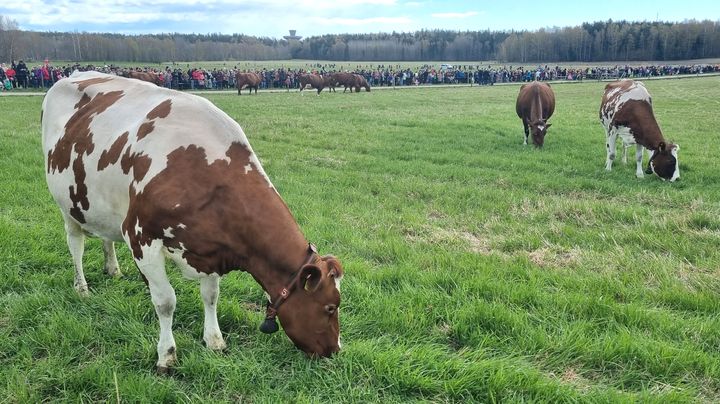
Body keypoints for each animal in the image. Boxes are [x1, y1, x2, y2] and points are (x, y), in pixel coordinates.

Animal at [43, 70, 346, 372]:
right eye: (330, 307)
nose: (335, 350)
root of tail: (75, 73)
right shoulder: (141, 239)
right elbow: (165, 301)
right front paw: (166, 356)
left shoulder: (213, 247)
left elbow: (210, 296)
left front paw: (214, 341)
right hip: (66, 203)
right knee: (76, 246)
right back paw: (82, 288)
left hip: (103, 205)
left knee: (106, 237)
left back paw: (113, 269)